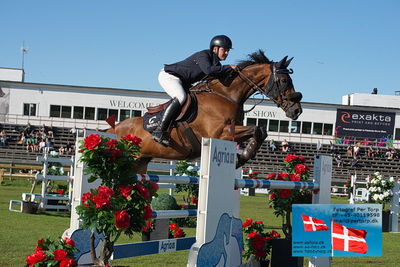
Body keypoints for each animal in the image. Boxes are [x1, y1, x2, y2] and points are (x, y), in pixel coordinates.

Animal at [108, 49, 302, 174]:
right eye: (284, 80)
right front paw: (240, 159)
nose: (297, 111)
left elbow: (261, 131)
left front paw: (242, 157)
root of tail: (112, 129)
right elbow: (257, 129)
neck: (226, 95)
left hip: (140, 162)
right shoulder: (220, 133)